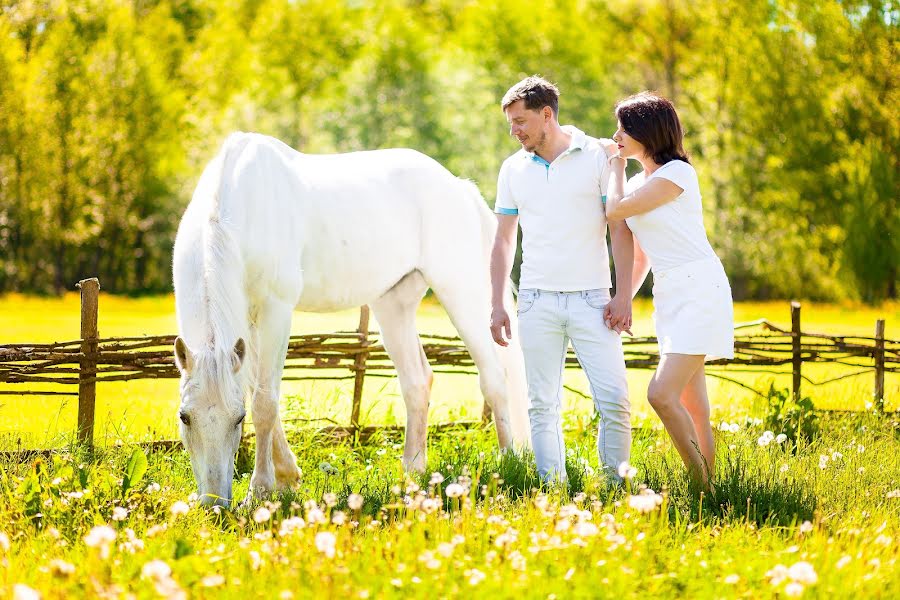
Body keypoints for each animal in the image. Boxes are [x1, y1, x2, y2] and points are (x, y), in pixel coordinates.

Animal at [172, 132, 532, 506]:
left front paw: (262, 490)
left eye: (237, 418)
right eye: (185, 417)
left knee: (495, 378)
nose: (214, 504)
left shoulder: (275, 311)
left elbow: (265, 402)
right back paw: (413, 472)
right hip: (393, 306)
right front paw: (287, 477)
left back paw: (507, 465)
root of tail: (458, 187)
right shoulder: (248, 325)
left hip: (463, 295)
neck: (236, 210)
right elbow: (259, 390)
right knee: (417, 382)